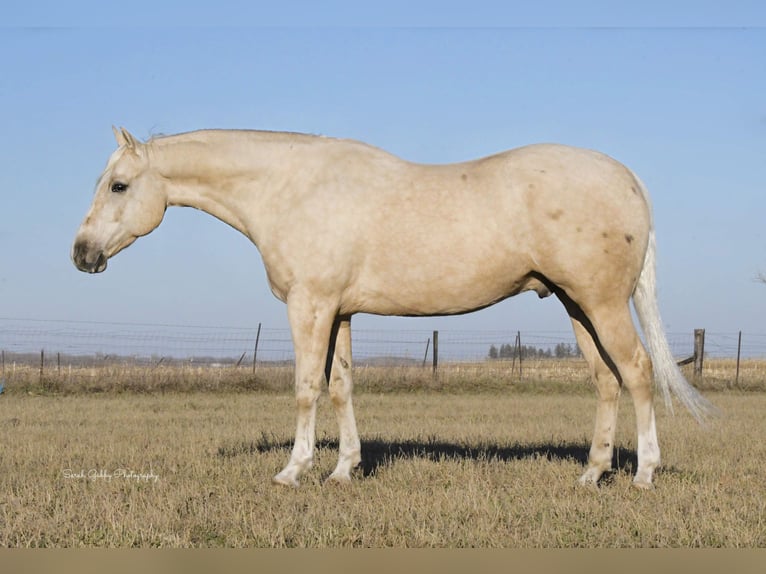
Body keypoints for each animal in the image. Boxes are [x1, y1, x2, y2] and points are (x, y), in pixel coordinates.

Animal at [72, 127, 712, 490]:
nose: (82, 254)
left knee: (637, 372)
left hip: (602, 304)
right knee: (606, 381)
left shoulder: (309, 306)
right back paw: (590, 474)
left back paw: (644, 474)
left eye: (119, 186)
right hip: (576, 306)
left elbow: (305, 387)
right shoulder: (339, 312)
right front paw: (343, 470)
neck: (292, 188)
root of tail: (625, 178)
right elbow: (340, 387)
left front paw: (293, 471)